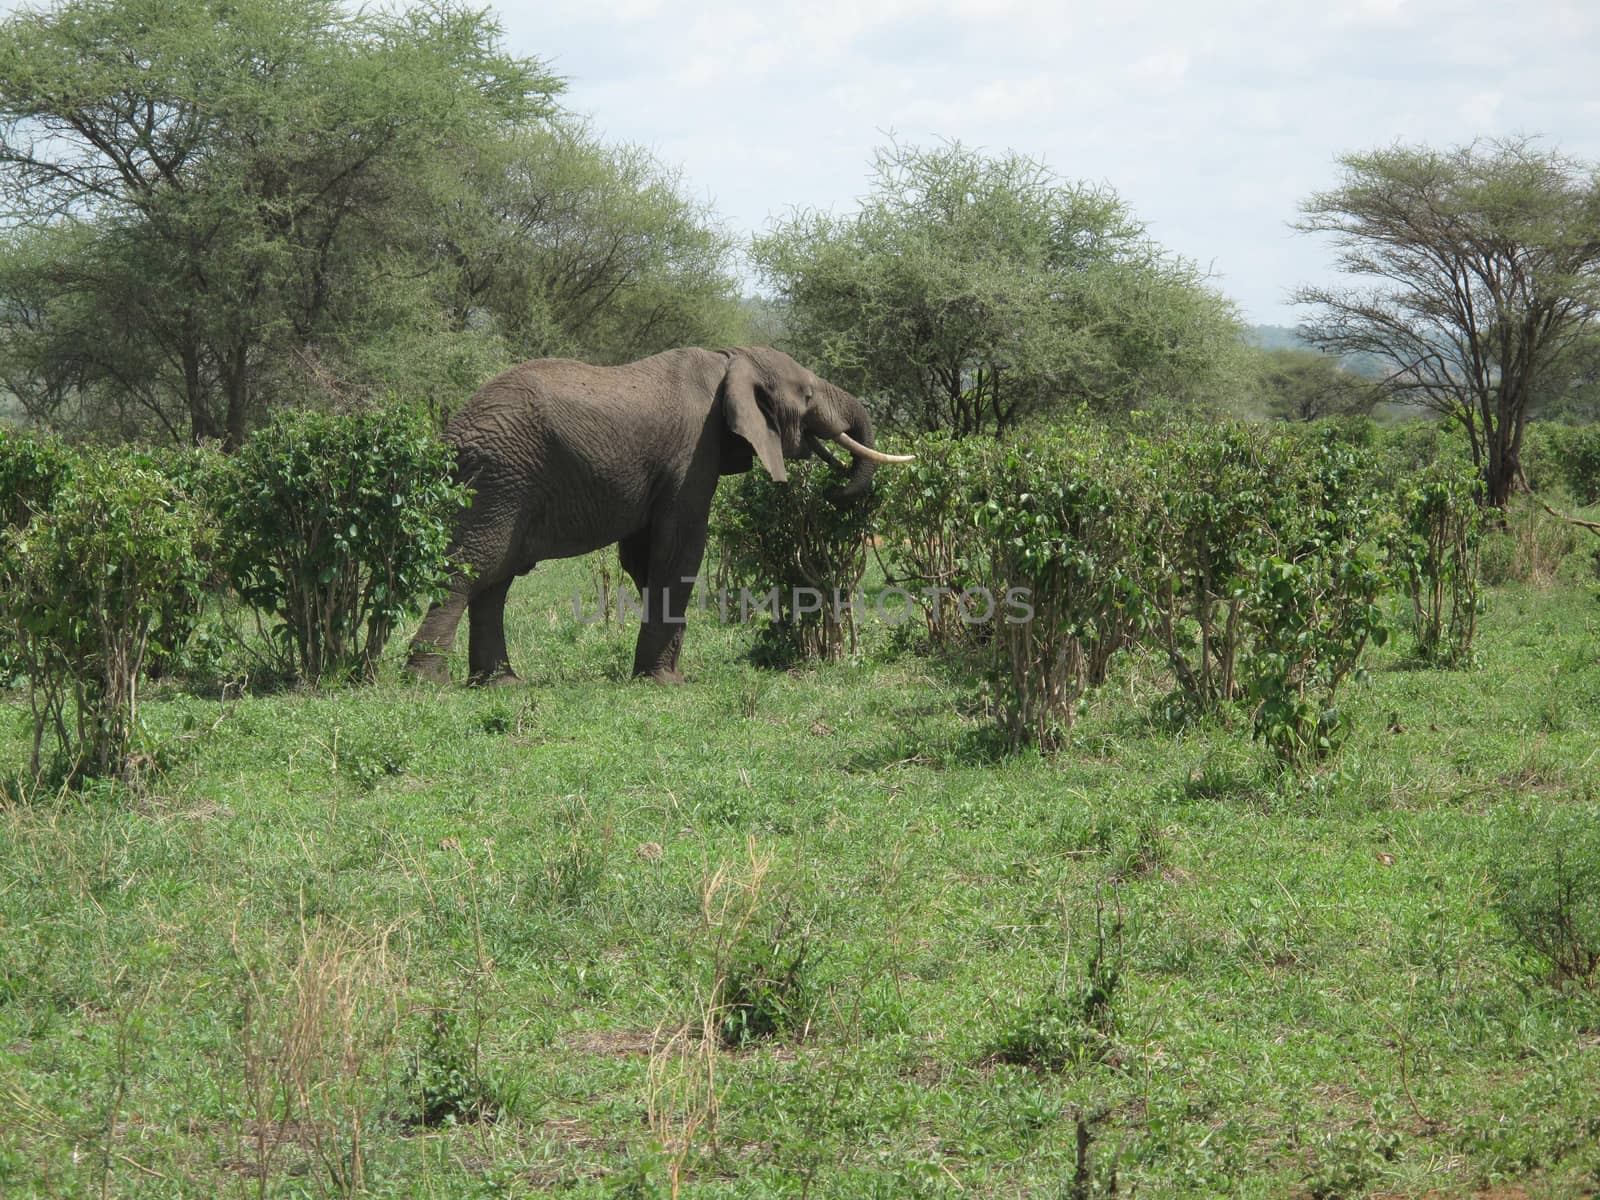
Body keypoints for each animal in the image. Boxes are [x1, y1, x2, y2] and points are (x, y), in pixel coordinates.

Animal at [403, 347, 915, 684]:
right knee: (473, 570)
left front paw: (659, 668)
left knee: (495, 580)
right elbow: (680, 546)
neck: (732, 358)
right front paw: (664, 681)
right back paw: (428, 685)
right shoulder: (693, 453)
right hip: (498, 480)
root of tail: (447, 438)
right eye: (808, 395)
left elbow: (641, 555)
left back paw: (500, 685)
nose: (835, 490)